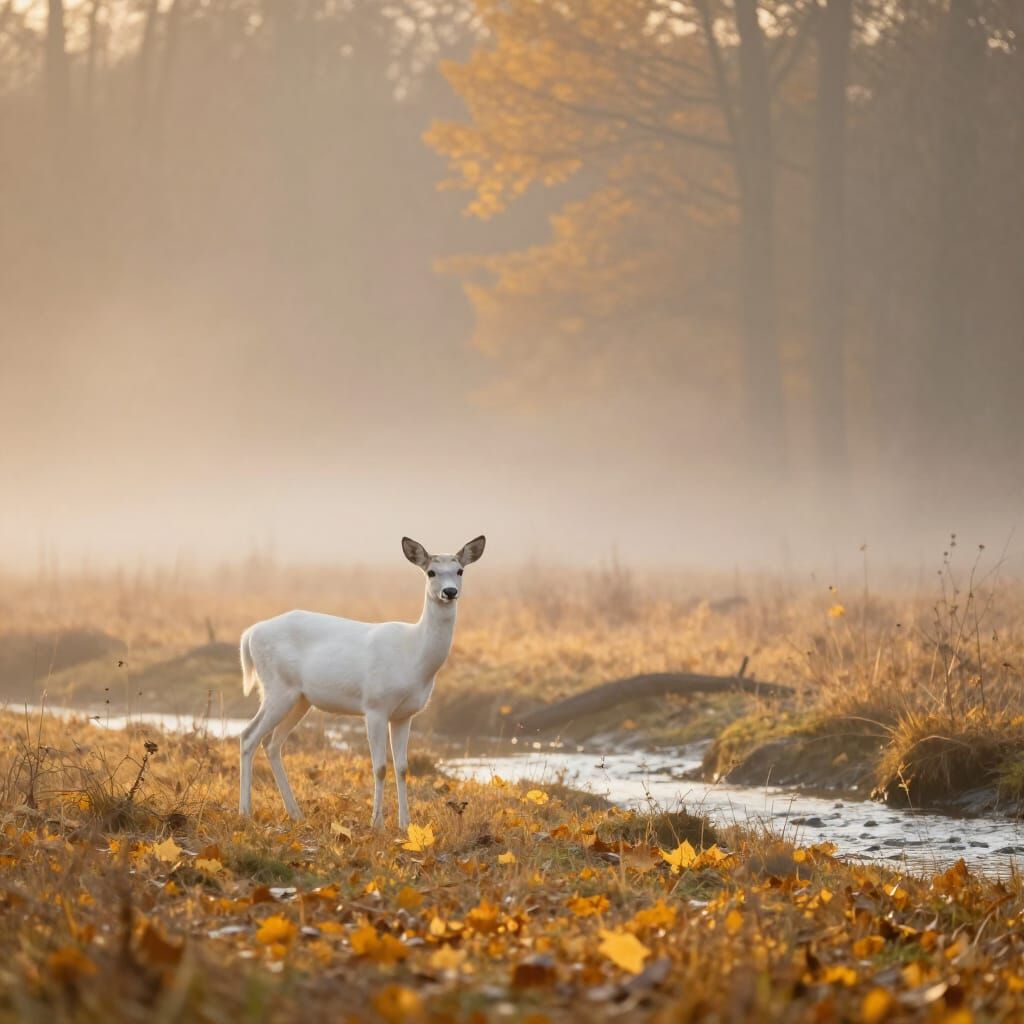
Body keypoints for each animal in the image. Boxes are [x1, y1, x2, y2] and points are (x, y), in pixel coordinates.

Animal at [237, 535, 485, 829]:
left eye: (460, 571)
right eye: (431, 572)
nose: (449, 592)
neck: (414, 657)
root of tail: (250, 634)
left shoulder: (404, 714)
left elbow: (402, 768)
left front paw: (405, 824)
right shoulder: (375, 706)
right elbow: (379, 767)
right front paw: (376, 823)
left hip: (299, 699)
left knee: (272, 743)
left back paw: (295, 813)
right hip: (277, 688)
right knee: (248, 736)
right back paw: (245, 811)